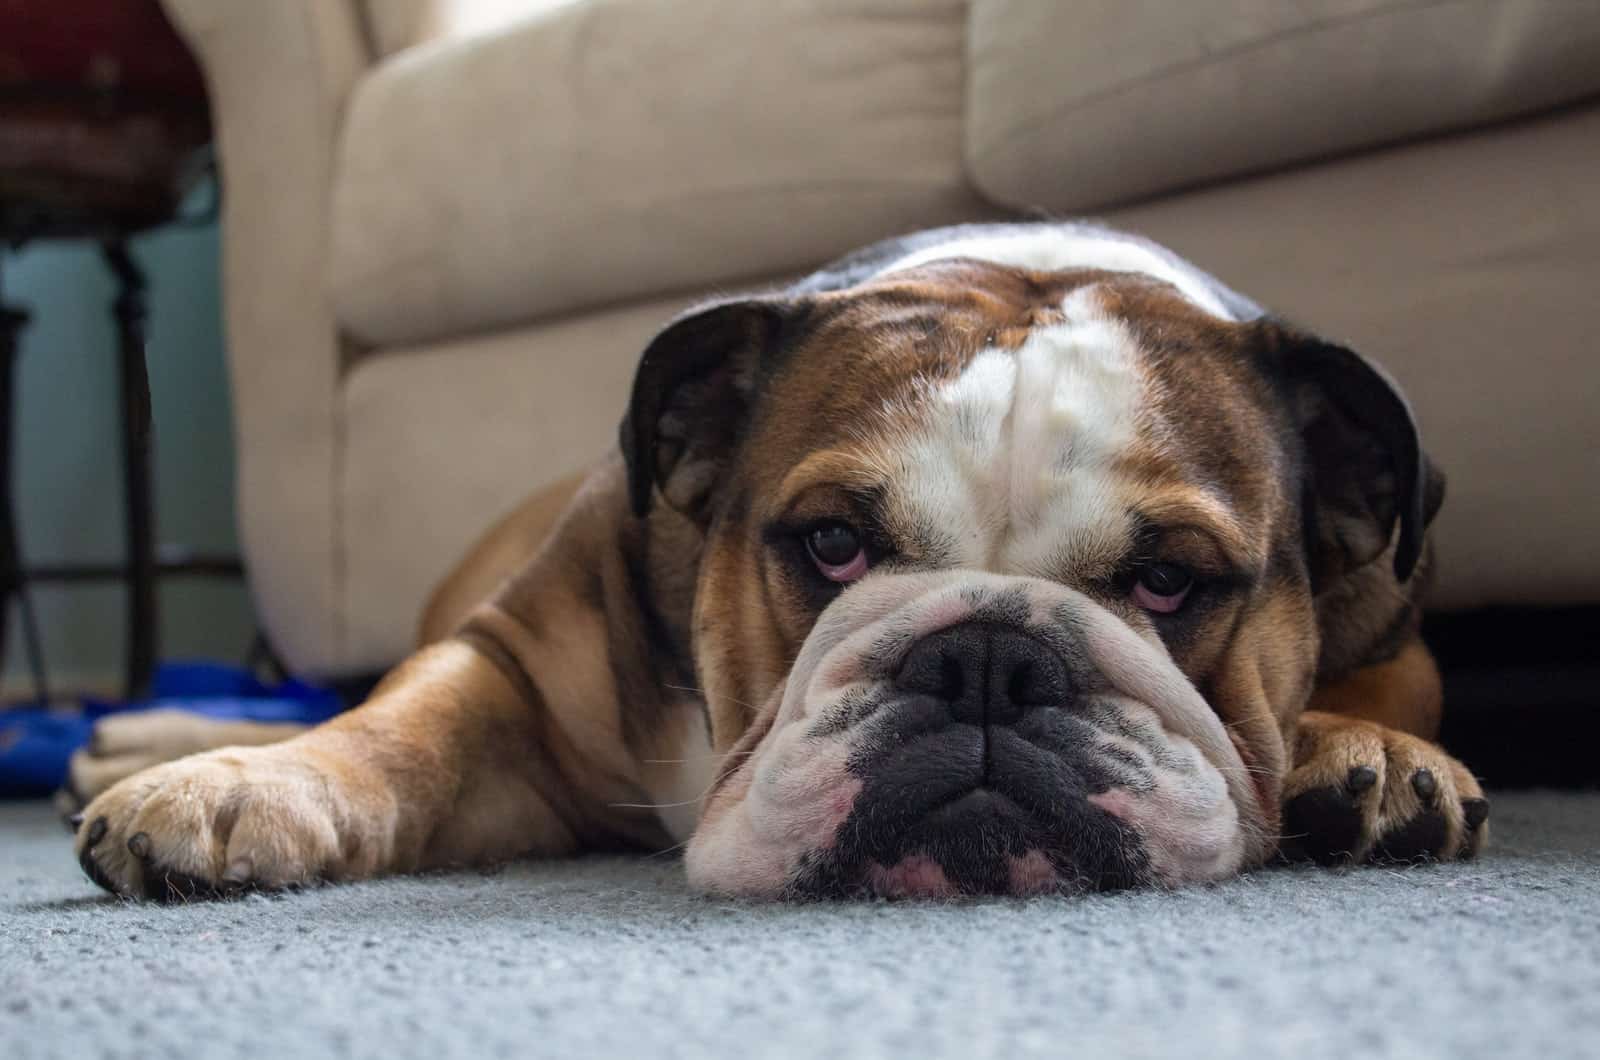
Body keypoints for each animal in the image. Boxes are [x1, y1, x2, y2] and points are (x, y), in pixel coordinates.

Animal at [68, 219, 1484, 903]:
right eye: (832, 544)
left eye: (1172, 580)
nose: (987, 660)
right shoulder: (512, 661)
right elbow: (398, 726)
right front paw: (246, 788)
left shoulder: (1396, 615)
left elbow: (1387, 684)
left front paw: (1364, 753)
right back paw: (143, 740)